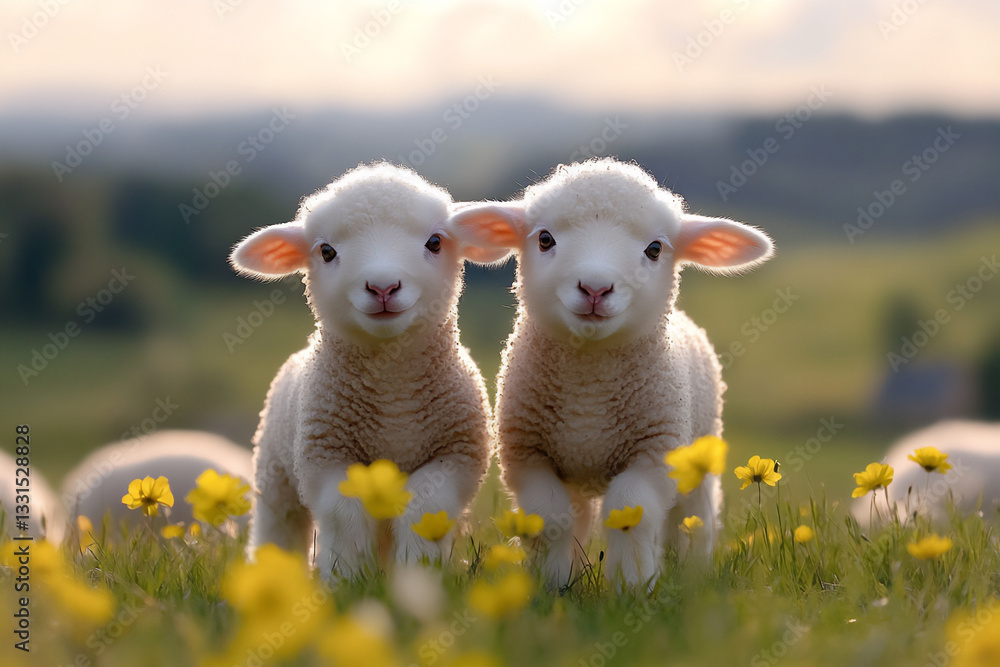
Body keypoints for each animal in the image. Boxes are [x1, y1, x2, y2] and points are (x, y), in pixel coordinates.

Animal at [229, 163, 505, 579]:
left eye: (435, 243)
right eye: (326, 251)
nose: (383, 287)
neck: (393, 397)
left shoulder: (457, 454)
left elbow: (424, 508)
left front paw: (417, 572)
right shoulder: (326, 454)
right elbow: (344, 515)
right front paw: (346, 577)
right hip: (275, 473)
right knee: (279, 526)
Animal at [451, 158, 773, 589]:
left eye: (655, 249)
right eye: (545, 240)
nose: (595, 288)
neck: (590, 393)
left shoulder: (655, 452)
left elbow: (630, 512)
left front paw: (633, 584)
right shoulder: (527, 454)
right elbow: (550, 518)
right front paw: (552, 583)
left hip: (699, 450)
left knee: (694, 517)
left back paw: (693, 572)